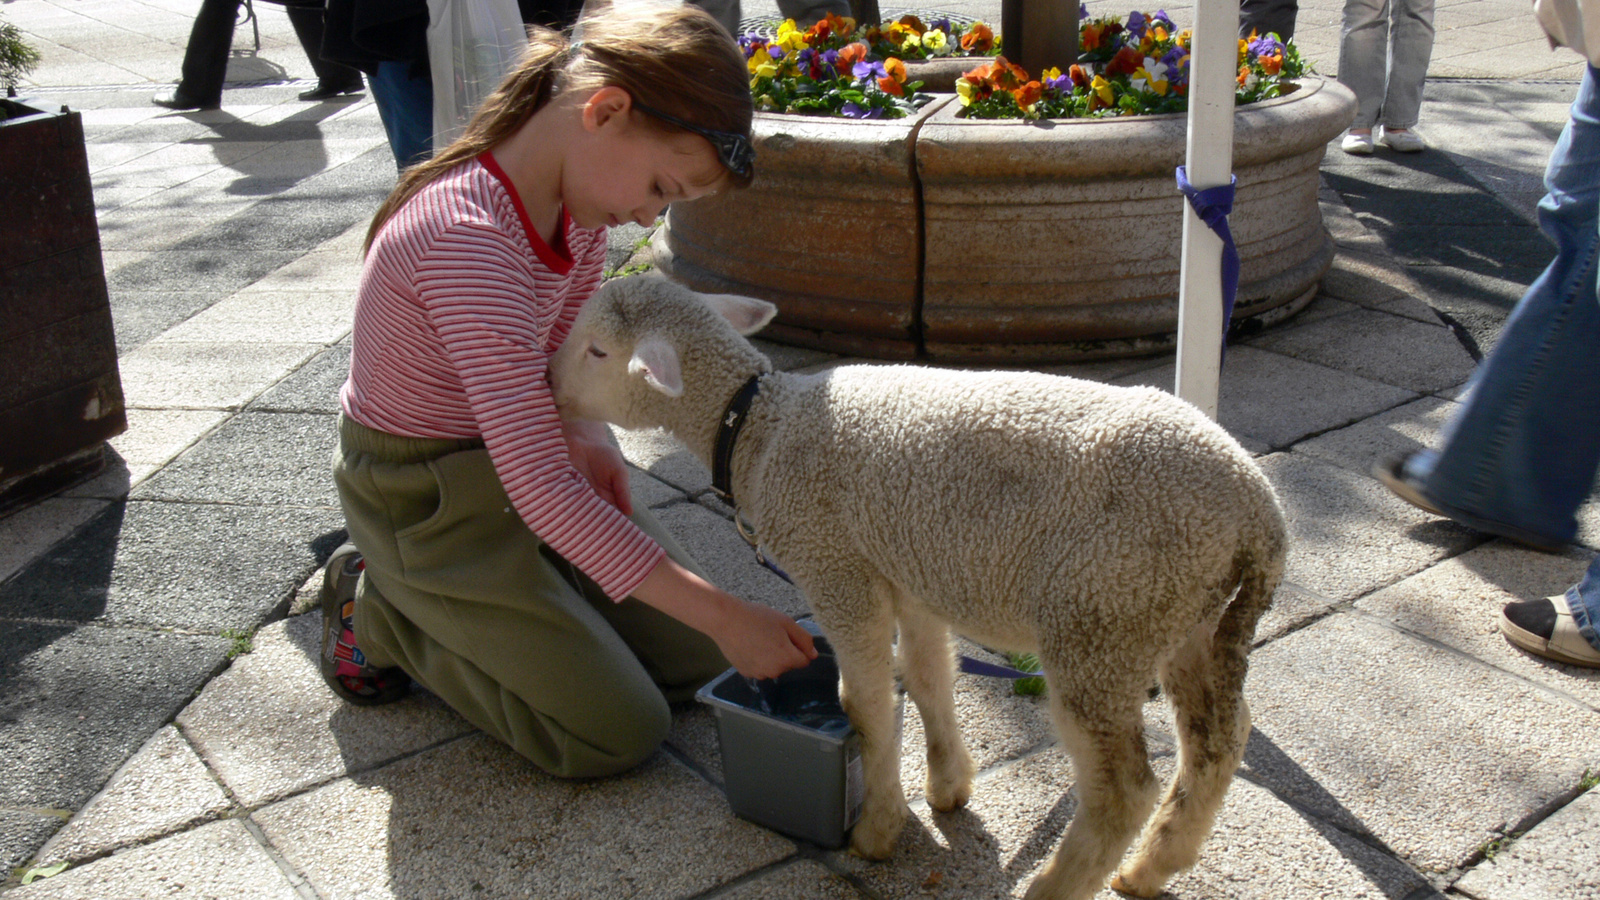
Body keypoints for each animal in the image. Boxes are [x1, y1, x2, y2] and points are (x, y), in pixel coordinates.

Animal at [550, 275, 1286, 896]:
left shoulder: (837, 568)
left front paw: (877, 831)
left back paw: (1056, 885)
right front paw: (947, 788)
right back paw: (1151, 866)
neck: (757, 427)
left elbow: (865, 704)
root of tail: (1261, 515)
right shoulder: (907, 574)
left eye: (597, 350)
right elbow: (929, 675)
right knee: (1220, 740)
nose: (547, 383)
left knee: (1121, 789)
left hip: (1103, 614)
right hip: (1184, 617)